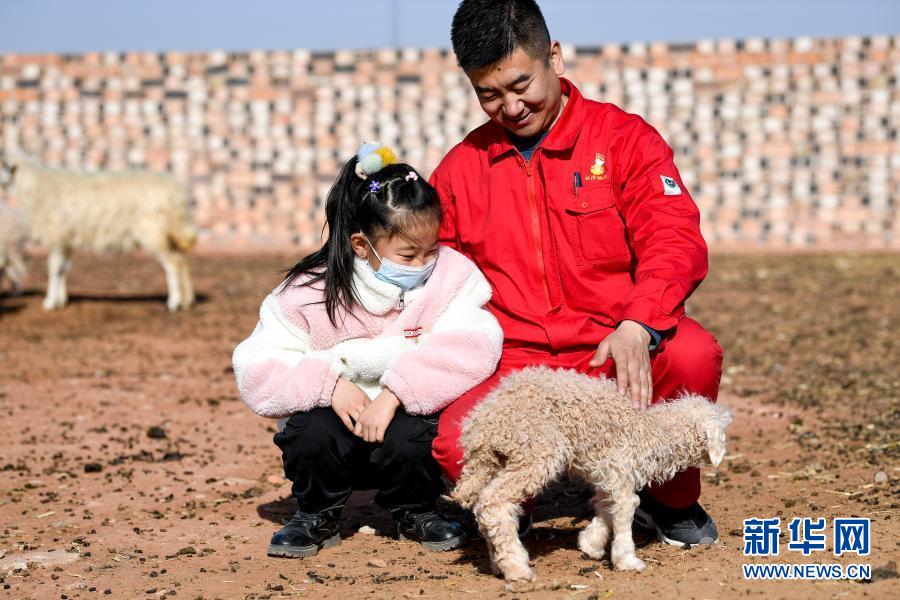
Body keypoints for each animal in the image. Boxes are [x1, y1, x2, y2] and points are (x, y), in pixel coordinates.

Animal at [9, 158, 196, 311]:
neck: (35, 184)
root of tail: (178, 193)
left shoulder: (57, 236)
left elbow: (54, 269)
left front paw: (50, 302)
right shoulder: (65, 241)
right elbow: (62, 269)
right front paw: (61, 301)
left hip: (153, 232)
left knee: (173, 264)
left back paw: (174, 302)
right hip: (167, 232)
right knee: (182, 261)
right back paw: (186, 301)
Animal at [452, 366, 732, 582]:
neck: (653, 431)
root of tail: (482, 425)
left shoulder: (610, 473)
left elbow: (605, 506)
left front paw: (591, 544)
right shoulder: (622, 468)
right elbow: (625, 510)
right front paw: (627, 560)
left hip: (496, 462)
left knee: (483, 506)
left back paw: (498, 564)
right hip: (535, 452)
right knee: (493, 503)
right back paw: (516, 567)